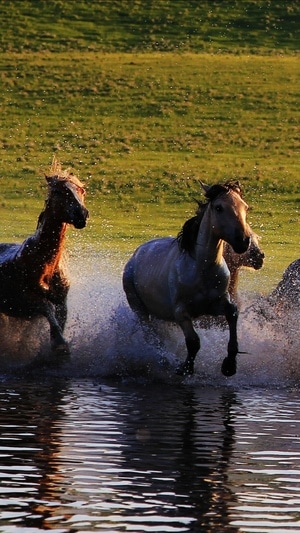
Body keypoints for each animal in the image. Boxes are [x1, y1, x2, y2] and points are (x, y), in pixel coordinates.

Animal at [0, 165, 89, 358]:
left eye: (81, 190)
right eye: (58, 191)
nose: (82, 214)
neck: (46, 264)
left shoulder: (62, 300)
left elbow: (59, 318)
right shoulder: (28, 301)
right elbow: (47, 308)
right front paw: (60, 345)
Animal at [122, 181, 251, 376]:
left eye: (245, 207)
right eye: (219, 207)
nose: (243, 241)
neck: (202, 270)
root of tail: (136, 254)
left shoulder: (216, 304)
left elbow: (233, 313)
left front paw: (229, 364)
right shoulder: (181, 313)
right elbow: (193, 341)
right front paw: (185, 368)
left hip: (160, 315)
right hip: (140, 310)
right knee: (151, 336)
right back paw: (165, 360)